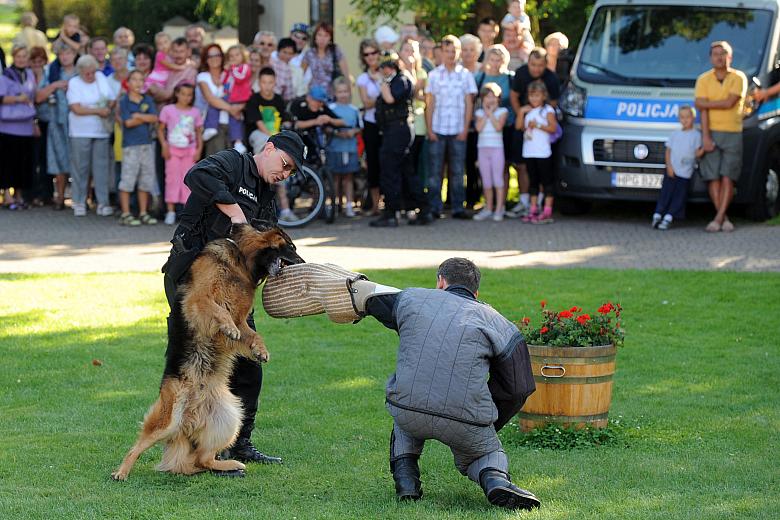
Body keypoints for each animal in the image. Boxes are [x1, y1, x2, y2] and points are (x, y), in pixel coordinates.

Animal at [111, 221, 304, 482]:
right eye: (291, 247)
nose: (304, 263)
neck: (240, 259)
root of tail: (189, 420)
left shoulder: (243, 319)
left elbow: (252, 335)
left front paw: (260, 350)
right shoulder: (198, 299)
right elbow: (218, 311)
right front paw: (229, 328)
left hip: (230, 417)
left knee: (203, 459)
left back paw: (230, 465)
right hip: (168, 419)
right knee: (137, 446)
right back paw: (121, 472)